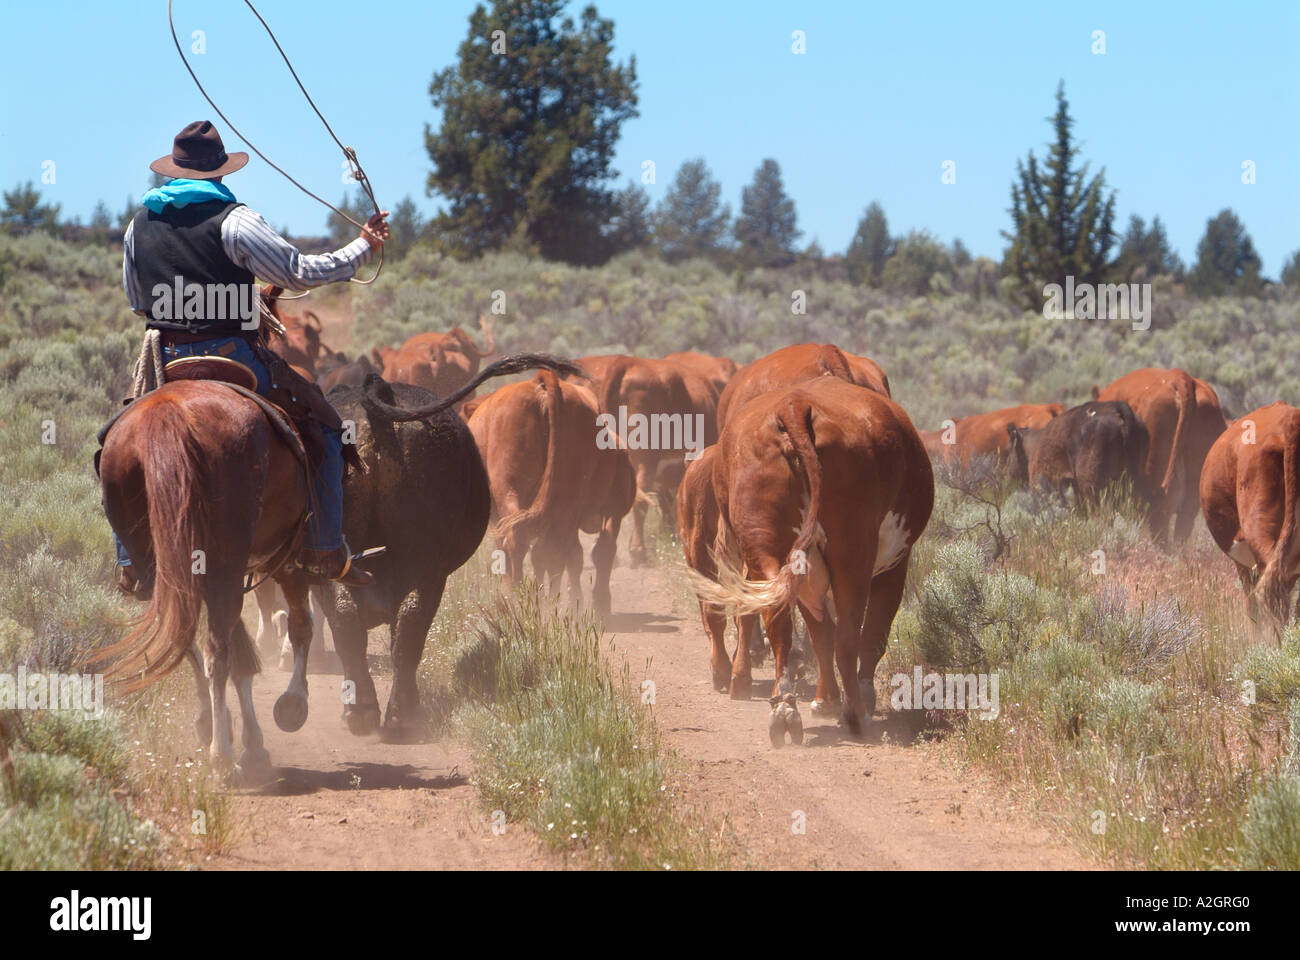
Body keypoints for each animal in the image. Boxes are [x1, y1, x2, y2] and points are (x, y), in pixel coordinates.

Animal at [469, 371, 636, 614]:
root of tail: (539, 384)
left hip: (511, 488)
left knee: (524, 543)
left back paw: (522, 600)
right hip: (563, 501)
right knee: (558, 550)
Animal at [689, 377, 934, 746]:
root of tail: (794, 405)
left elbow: (819, 633)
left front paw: (825, 698)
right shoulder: (895, 565)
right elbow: (871, 634)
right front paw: (854, 699)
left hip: (767, 549)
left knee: (779, 619)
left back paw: (784, 706)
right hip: (852, 552)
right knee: (849, 634)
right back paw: (855, 714)